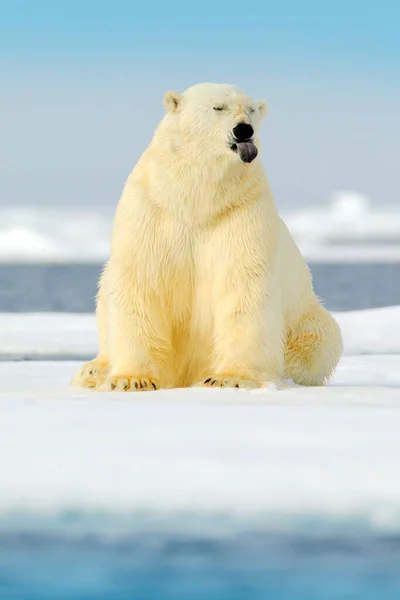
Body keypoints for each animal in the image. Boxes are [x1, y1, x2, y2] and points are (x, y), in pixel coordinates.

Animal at [72, 82, 344, 392]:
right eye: (218, 107)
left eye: (251, 109)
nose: (244, 130)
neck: (196, 199)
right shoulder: (152, 208)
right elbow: (141, 280)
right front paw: (131, 379)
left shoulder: (240, 211)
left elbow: (244, 286)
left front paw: (229, 378)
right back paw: (94, 370)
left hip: (306, 320)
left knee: (320, 341)